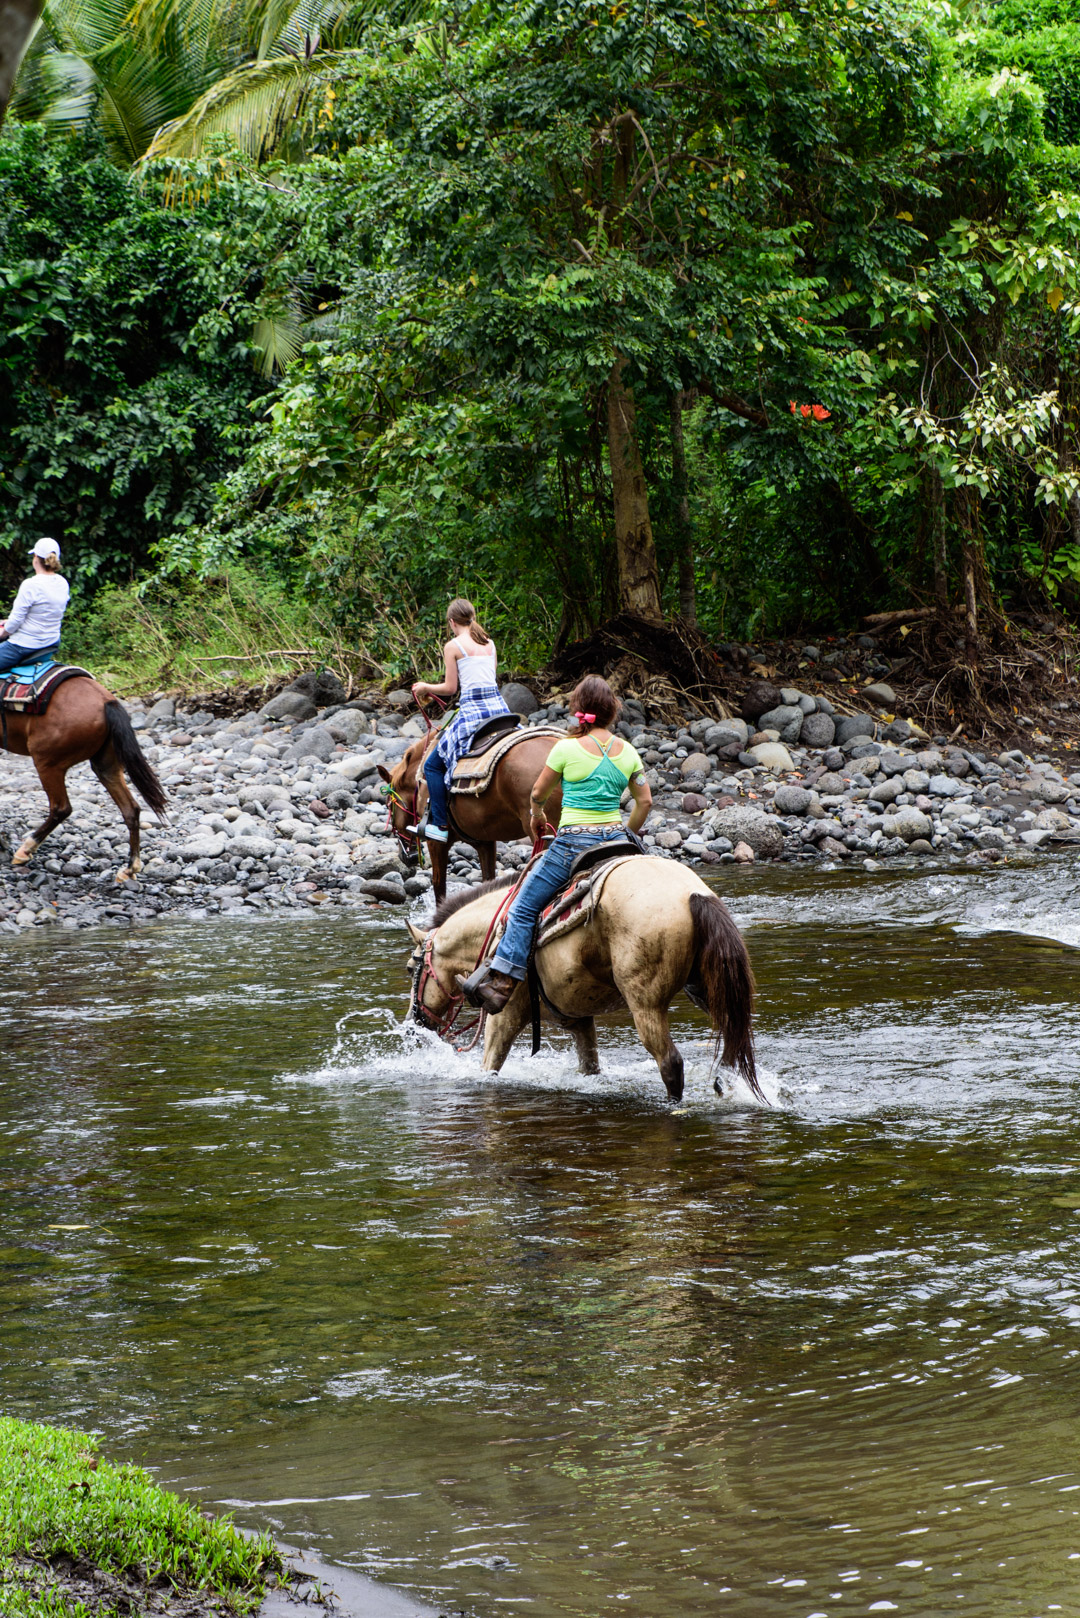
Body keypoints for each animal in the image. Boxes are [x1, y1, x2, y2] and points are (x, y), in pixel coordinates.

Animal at [0, 663, 166, 880]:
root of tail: (106, 701)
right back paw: (130, 868)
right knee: (131, 809)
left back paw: (25, 849)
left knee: (61, 808)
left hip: (47, 763)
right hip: (106, 766)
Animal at [380, 728, 566, 906]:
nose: (405, 856)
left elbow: (439, 887)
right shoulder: (485, 842)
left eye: (389, 805)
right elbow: (488, 881)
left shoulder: (436, 843)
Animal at [404, 860, 761, 1100]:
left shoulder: (504, 1016)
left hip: (646, 1004)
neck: (493, 934)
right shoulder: (578, 1020)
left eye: (410, 968)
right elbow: (590, 1066)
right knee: (733, 1042)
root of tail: (693, 894)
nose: (414, 1024)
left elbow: (489, 1065)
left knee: (670, 1063)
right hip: (710, 991)